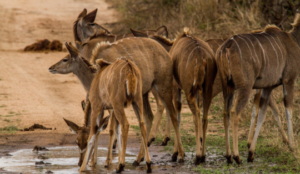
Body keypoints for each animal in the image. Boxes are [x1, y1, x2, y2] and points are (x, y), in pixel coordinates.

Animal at [217, 11, 300, 164]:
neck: (294, 39)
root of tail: (227, 46)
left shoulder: (268, 87)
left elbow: (262, 114)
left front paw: (251, 152)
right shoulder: (289, 80)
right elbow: (288, 111)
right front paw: (292, 147)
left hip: (227, 86)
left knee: (226, 113)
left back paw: (228, 156)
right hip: (245, 86)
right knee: (235, 112)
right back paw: (237, 156)